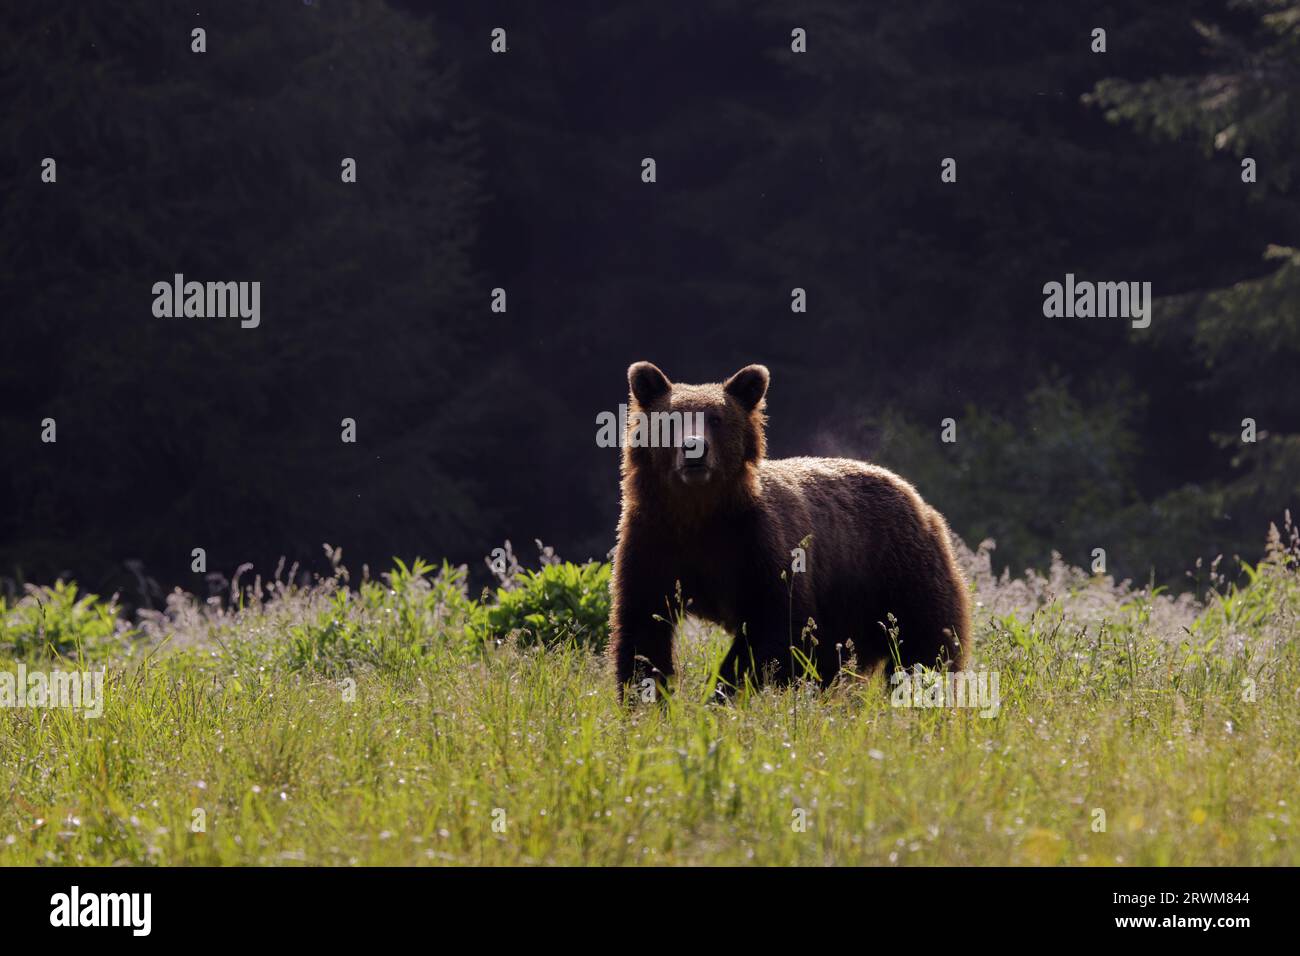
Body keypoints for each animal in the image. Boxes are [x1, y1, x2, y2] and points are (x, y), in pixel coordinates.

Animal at [605, 361, 967, 697]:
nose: (695, 448)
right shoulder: (654, 542)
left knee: (925, 644)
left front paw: (724, 689)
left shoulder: (756, 544)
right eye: (672, 420)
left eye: (716, 419)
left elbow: (776, 627)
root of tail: (915, 497)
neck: (698, 514)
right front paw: (646, 698)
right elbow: (642, 629)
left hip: (898, 572)